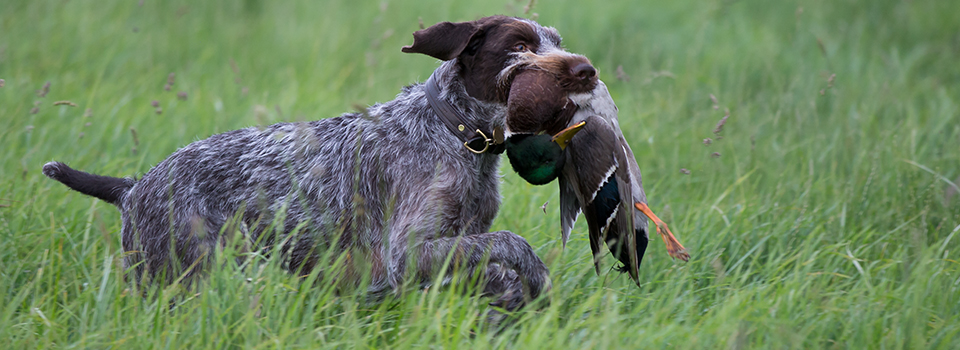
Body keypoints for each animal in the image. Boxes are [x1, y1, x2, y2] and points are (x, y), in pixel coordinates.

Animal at [47, 15, 600, 312]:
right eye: (520, 46)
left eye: (556, 41)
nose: (586, 69)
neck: (455, 132)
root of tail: (133, 187)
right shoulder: (407, 252)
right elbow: (513, 244)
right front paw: (534, 279)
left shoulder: (454, 244)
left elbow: (492, 263)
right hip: (177, 276)